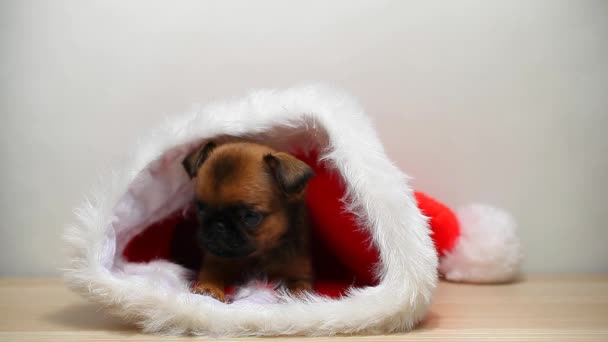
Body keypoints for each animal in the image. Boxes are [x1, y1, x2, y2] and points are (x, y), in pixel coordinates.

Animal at [180, 140, 314, 300]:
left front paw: (295, 299)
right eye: (200, 209)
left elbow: (298, 289)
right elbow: (211, 275)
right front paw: (208, 288)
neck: (258, 256)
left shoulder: (299, 276)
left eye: (251, 217)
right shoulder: (215, 261)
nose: (218, 225)